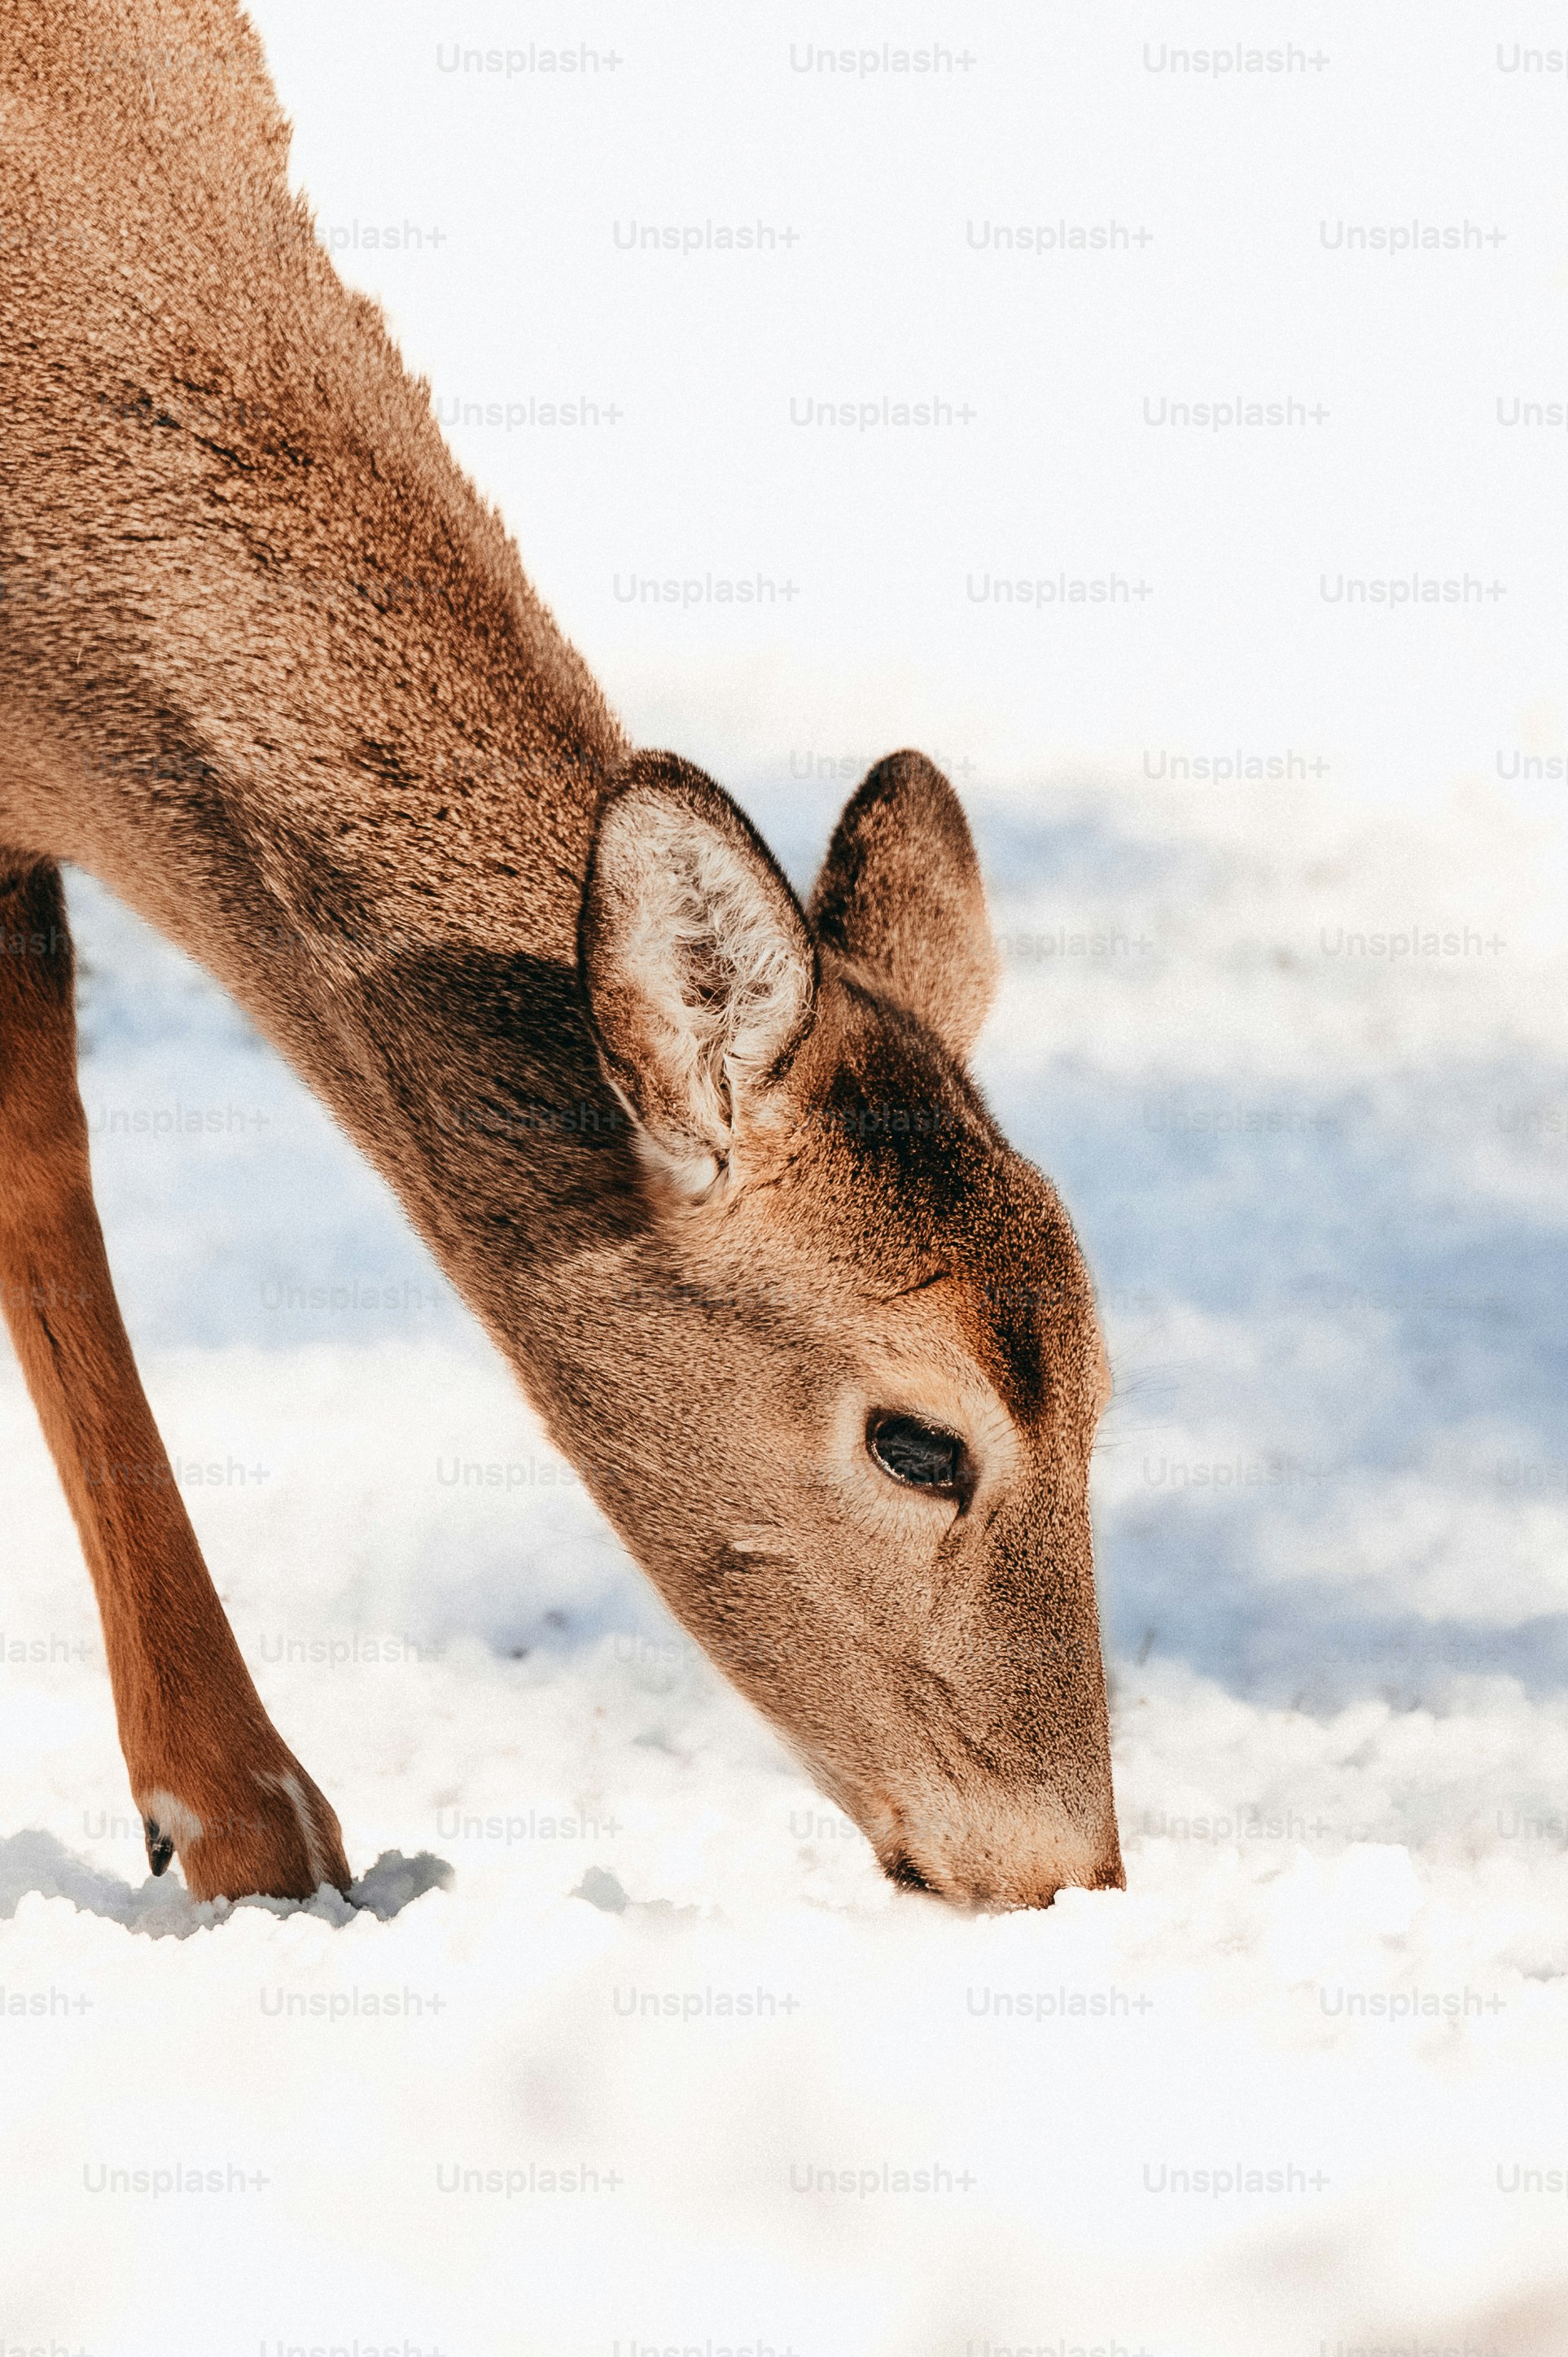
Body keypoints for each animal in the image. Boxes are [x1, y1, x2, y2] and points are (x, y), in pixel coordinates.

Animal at [0, 0, 1124, 1913]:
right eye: (920, 1438)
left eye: (1112, 1389)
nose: (1066, 1871)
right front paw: (243, 1817)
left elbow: (37, 1149)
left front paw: (235, 1815)